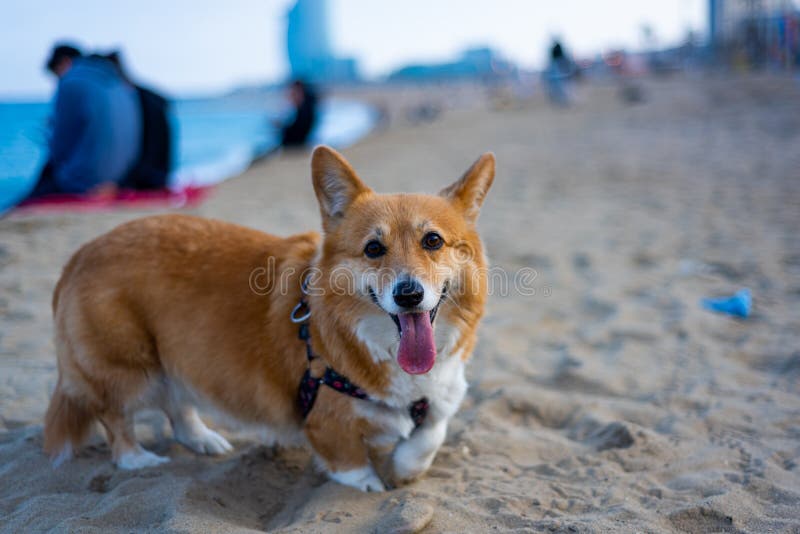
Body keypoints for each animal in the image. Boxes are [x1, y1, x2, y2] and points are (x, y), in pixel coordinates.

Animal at [45, 148, 494, 494]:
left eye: (432, 241)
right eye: (373, 248)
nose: (408, 295)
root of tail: (79, 256)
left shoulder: (444, 396)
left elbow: (429, 436)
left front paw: (403, 470)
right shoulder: (325, 422)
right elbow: (349, 462)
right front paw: (370, 483)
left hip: (179, 356)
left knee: (179, 405)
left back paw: (204, 440)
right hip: (129, 366)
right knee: (114, 415)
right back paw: (137, 460)